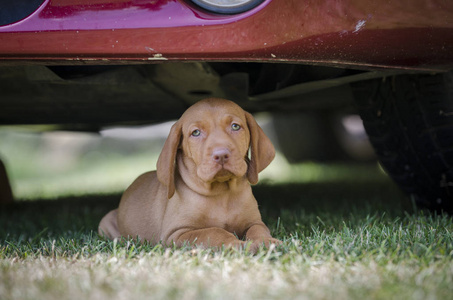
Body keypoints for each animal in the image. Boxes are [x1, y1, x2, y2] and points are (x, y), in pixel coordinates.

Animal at [100, 98, 278, 251]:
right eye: (196, 133)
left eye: (235, 126)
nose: (221, 155)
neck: (222, 193)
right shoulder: (177, 234)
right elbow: (213, 231)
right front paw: (235, 244)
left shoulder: (254, 221)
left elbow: (258, 229)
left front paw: (265, 241)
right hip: (105, 222)